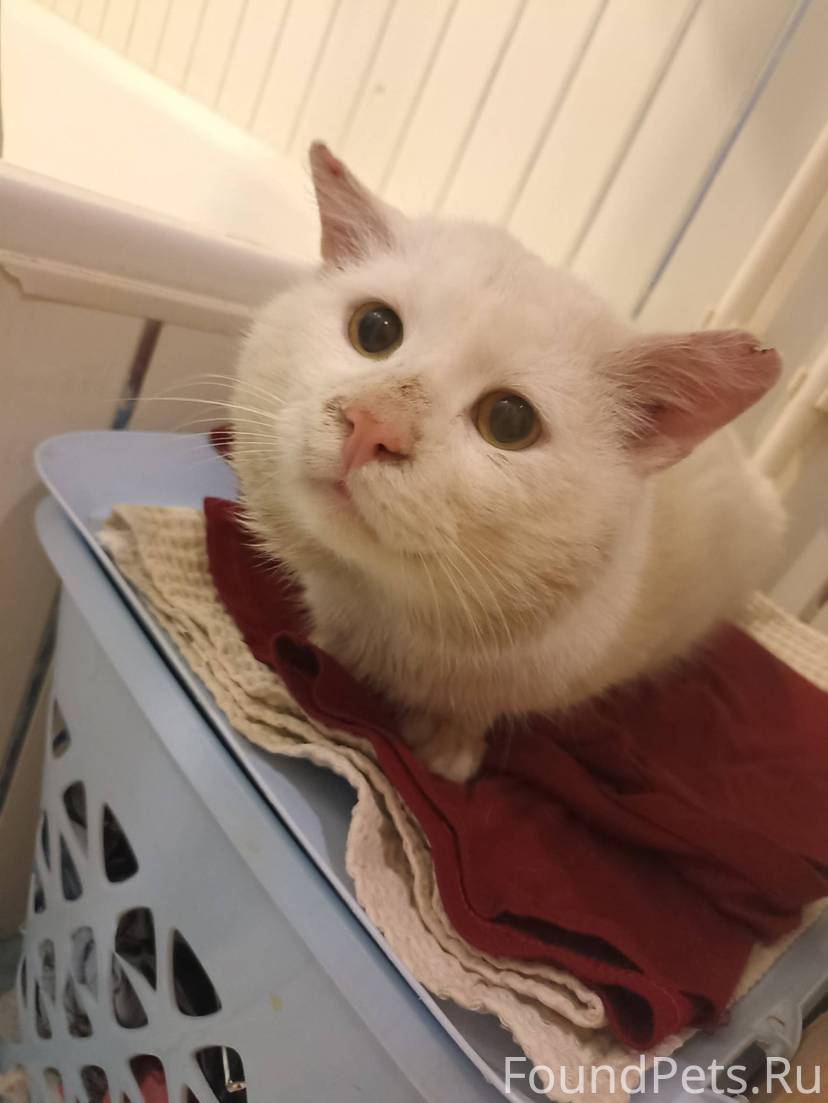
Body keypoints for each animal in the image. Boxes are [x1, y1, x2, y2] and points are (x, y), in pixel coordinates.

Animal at [230, 141, 784, 782]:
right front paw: (319, 650)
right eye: (373, 328)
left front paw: (447, 748)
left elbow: (478, 710)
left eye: (510, 422)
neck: (383, 609)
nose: (372, 425)